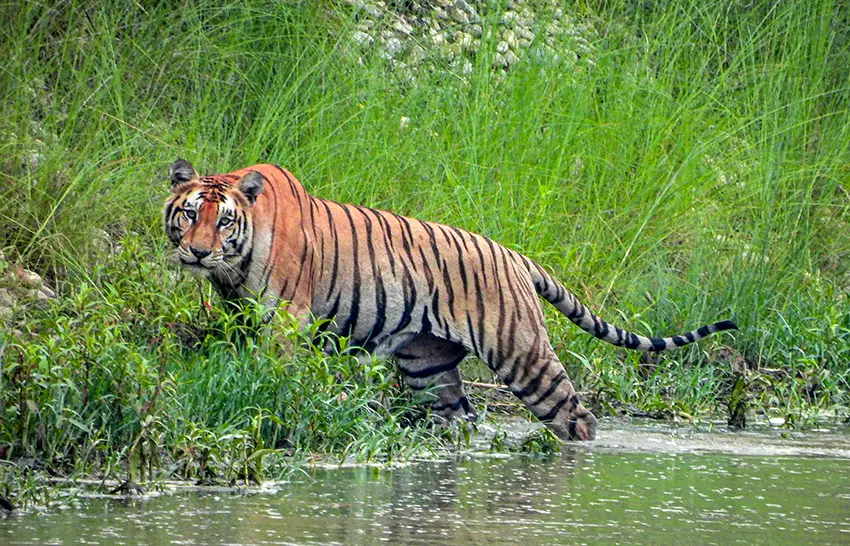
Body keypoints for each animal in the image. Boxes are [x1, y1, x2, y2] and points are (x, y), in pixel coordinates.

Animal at [163, 160, 737, 441]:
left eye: (224, 221)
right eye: (189, 213)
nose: (198, 252)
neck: (233, 266)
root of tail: (515, 255)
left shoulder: (285, 319)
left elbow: (273, 375)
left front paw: (266, 401)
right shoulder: (240, 313)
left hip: (524, 355)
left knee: (577, 417)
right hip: (428, 367)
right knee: (456, 418)